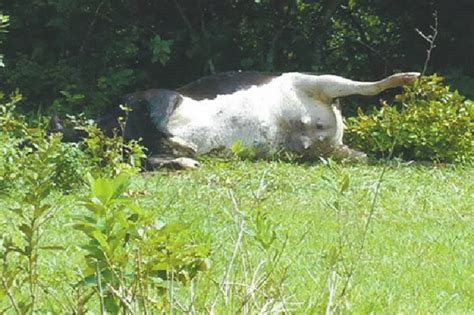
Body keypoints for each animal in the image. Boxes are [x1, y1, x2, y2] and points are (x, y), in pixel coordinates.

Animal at [54, 72, 418, 170]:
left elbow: (162, 120)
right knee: (359, 155)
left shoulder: (154, 96)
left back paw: (407, 77)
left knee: (367, 86)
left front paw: (183, 146)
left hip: (315, 81)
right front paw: (186, 158)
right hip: (333, 149)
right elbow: (157, 158)